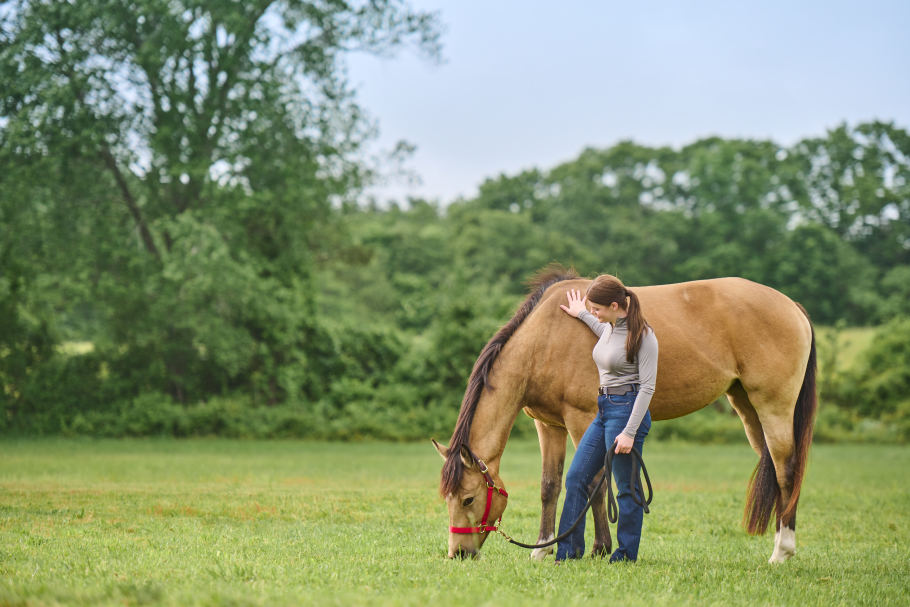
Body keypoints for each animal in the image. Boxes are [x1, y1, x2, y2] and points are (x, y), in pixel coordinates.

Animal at [434, 268, 820, 564]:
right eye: (447, 499)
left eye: (468, 498)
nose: (459, 553)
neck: (546, 337)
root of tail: (793, 307)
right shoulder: (548, 425)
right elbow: (550, 485)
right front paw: (543, 549)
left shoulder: (582, 419)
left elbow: (595, 484)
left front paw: (599, 548)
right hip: (748, 407)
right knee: (775, 470)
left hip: (773, 406)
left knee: (786, 470)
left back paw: (782, 551)